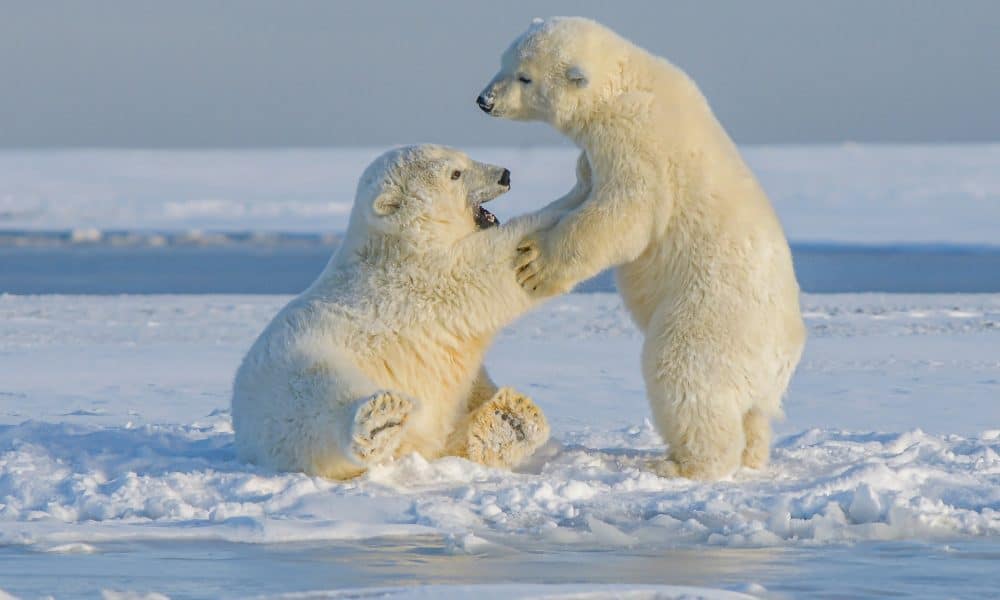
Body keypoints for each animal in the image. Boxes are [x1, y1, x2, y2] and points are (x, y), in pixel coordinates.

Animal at [231, 145, 562, 479]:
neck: (396, 241)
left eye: (465, 157)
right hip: (296, 370)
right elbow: (487, 266)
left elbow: (470, 382)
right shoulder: (422, 277)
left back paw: (510, 419)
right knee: (319, 396)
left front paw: (509, 420)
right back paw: (380, 421)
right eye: (455, 173)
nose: (504, 175)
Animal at [477, 17, 806, 480]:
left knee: (683, 375)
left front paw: (535, 263)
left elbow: (624, 212)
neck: (627, 81)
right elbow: (586, 188)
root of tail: (782, 358)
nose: (484, 100)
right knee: (753, 415)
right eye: (503, 62)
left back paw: (681, 464)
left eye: (525, 77)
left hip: (710, 317)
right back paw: (752, 455)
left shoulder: (637, 141)